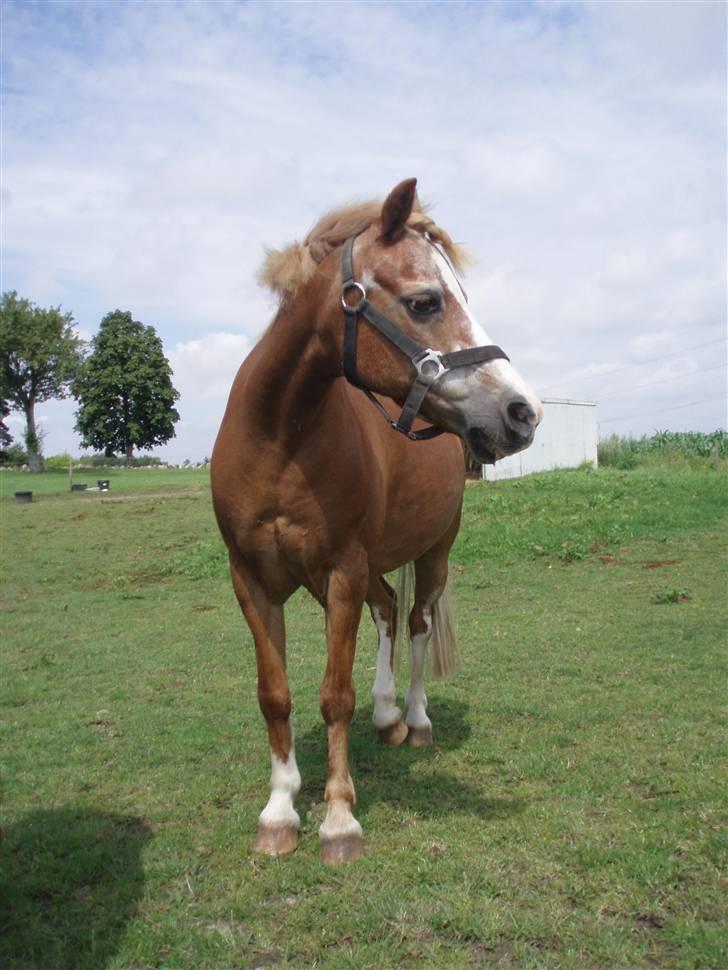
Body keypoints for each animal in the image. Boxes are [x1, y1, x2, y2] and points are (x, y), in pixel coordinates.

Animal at [210, 180, 540, 864]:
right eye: (424, 301)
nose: (523, 412)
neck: (279, 441)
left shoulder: (342, 570)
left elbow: (335, 696)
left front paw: (339, 820)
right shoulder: (252, 579)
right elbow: (274, 695)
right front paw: (280, 809)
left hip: (432, 553)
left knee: (414, 623)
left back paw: (413, 720)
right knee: (387, 609)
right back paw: (386, 716)